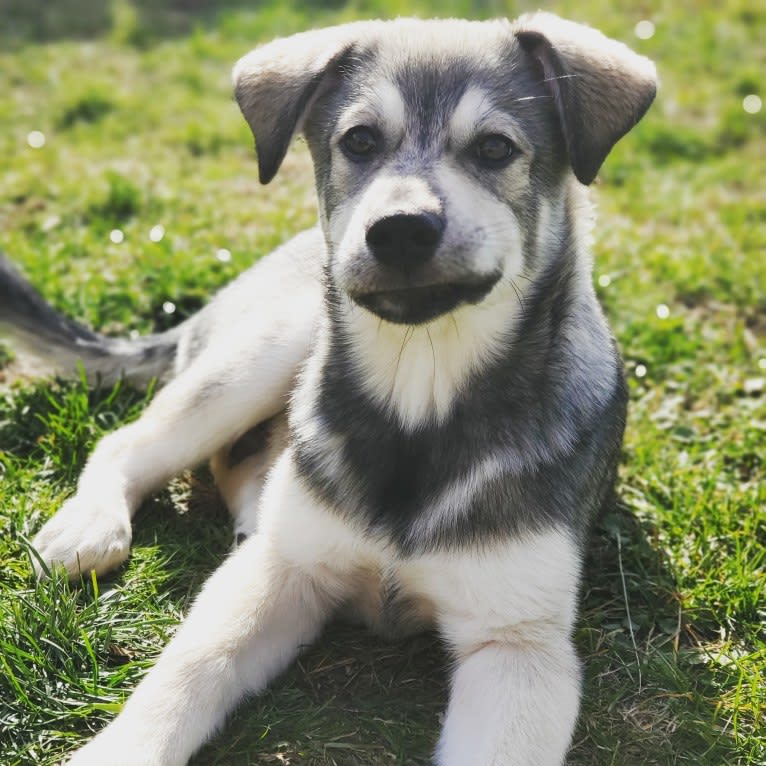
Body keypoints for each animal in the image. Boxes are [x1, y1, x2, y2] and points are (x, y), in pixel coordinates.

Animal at [1, 12, 660, 766]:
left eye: (495, 148)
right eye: (360, 141)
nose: (399, 230)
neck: (420, 395)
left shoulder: (519, 643)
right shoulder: (277, 577)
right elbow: (188, 673)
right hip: (270, 347)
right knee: (129, 441)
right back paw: (92, 522)